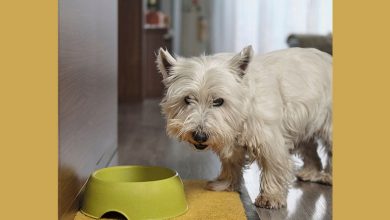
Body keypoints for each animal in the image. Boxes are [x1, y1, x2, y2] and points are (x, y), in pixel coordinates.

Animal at [155, 46, 332, 208]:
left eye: (218, 101)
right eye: (187, 99)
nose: (199, 136)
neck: (241, 111)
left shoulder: (270, 141)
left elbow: (273, 166)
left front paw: (270, 197)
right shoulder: (230, 140)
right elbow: (231, 163)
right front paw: (225, 184)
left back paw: (328, 177)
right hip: (304, 125)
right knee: (309, 147)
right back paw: (310, 172)